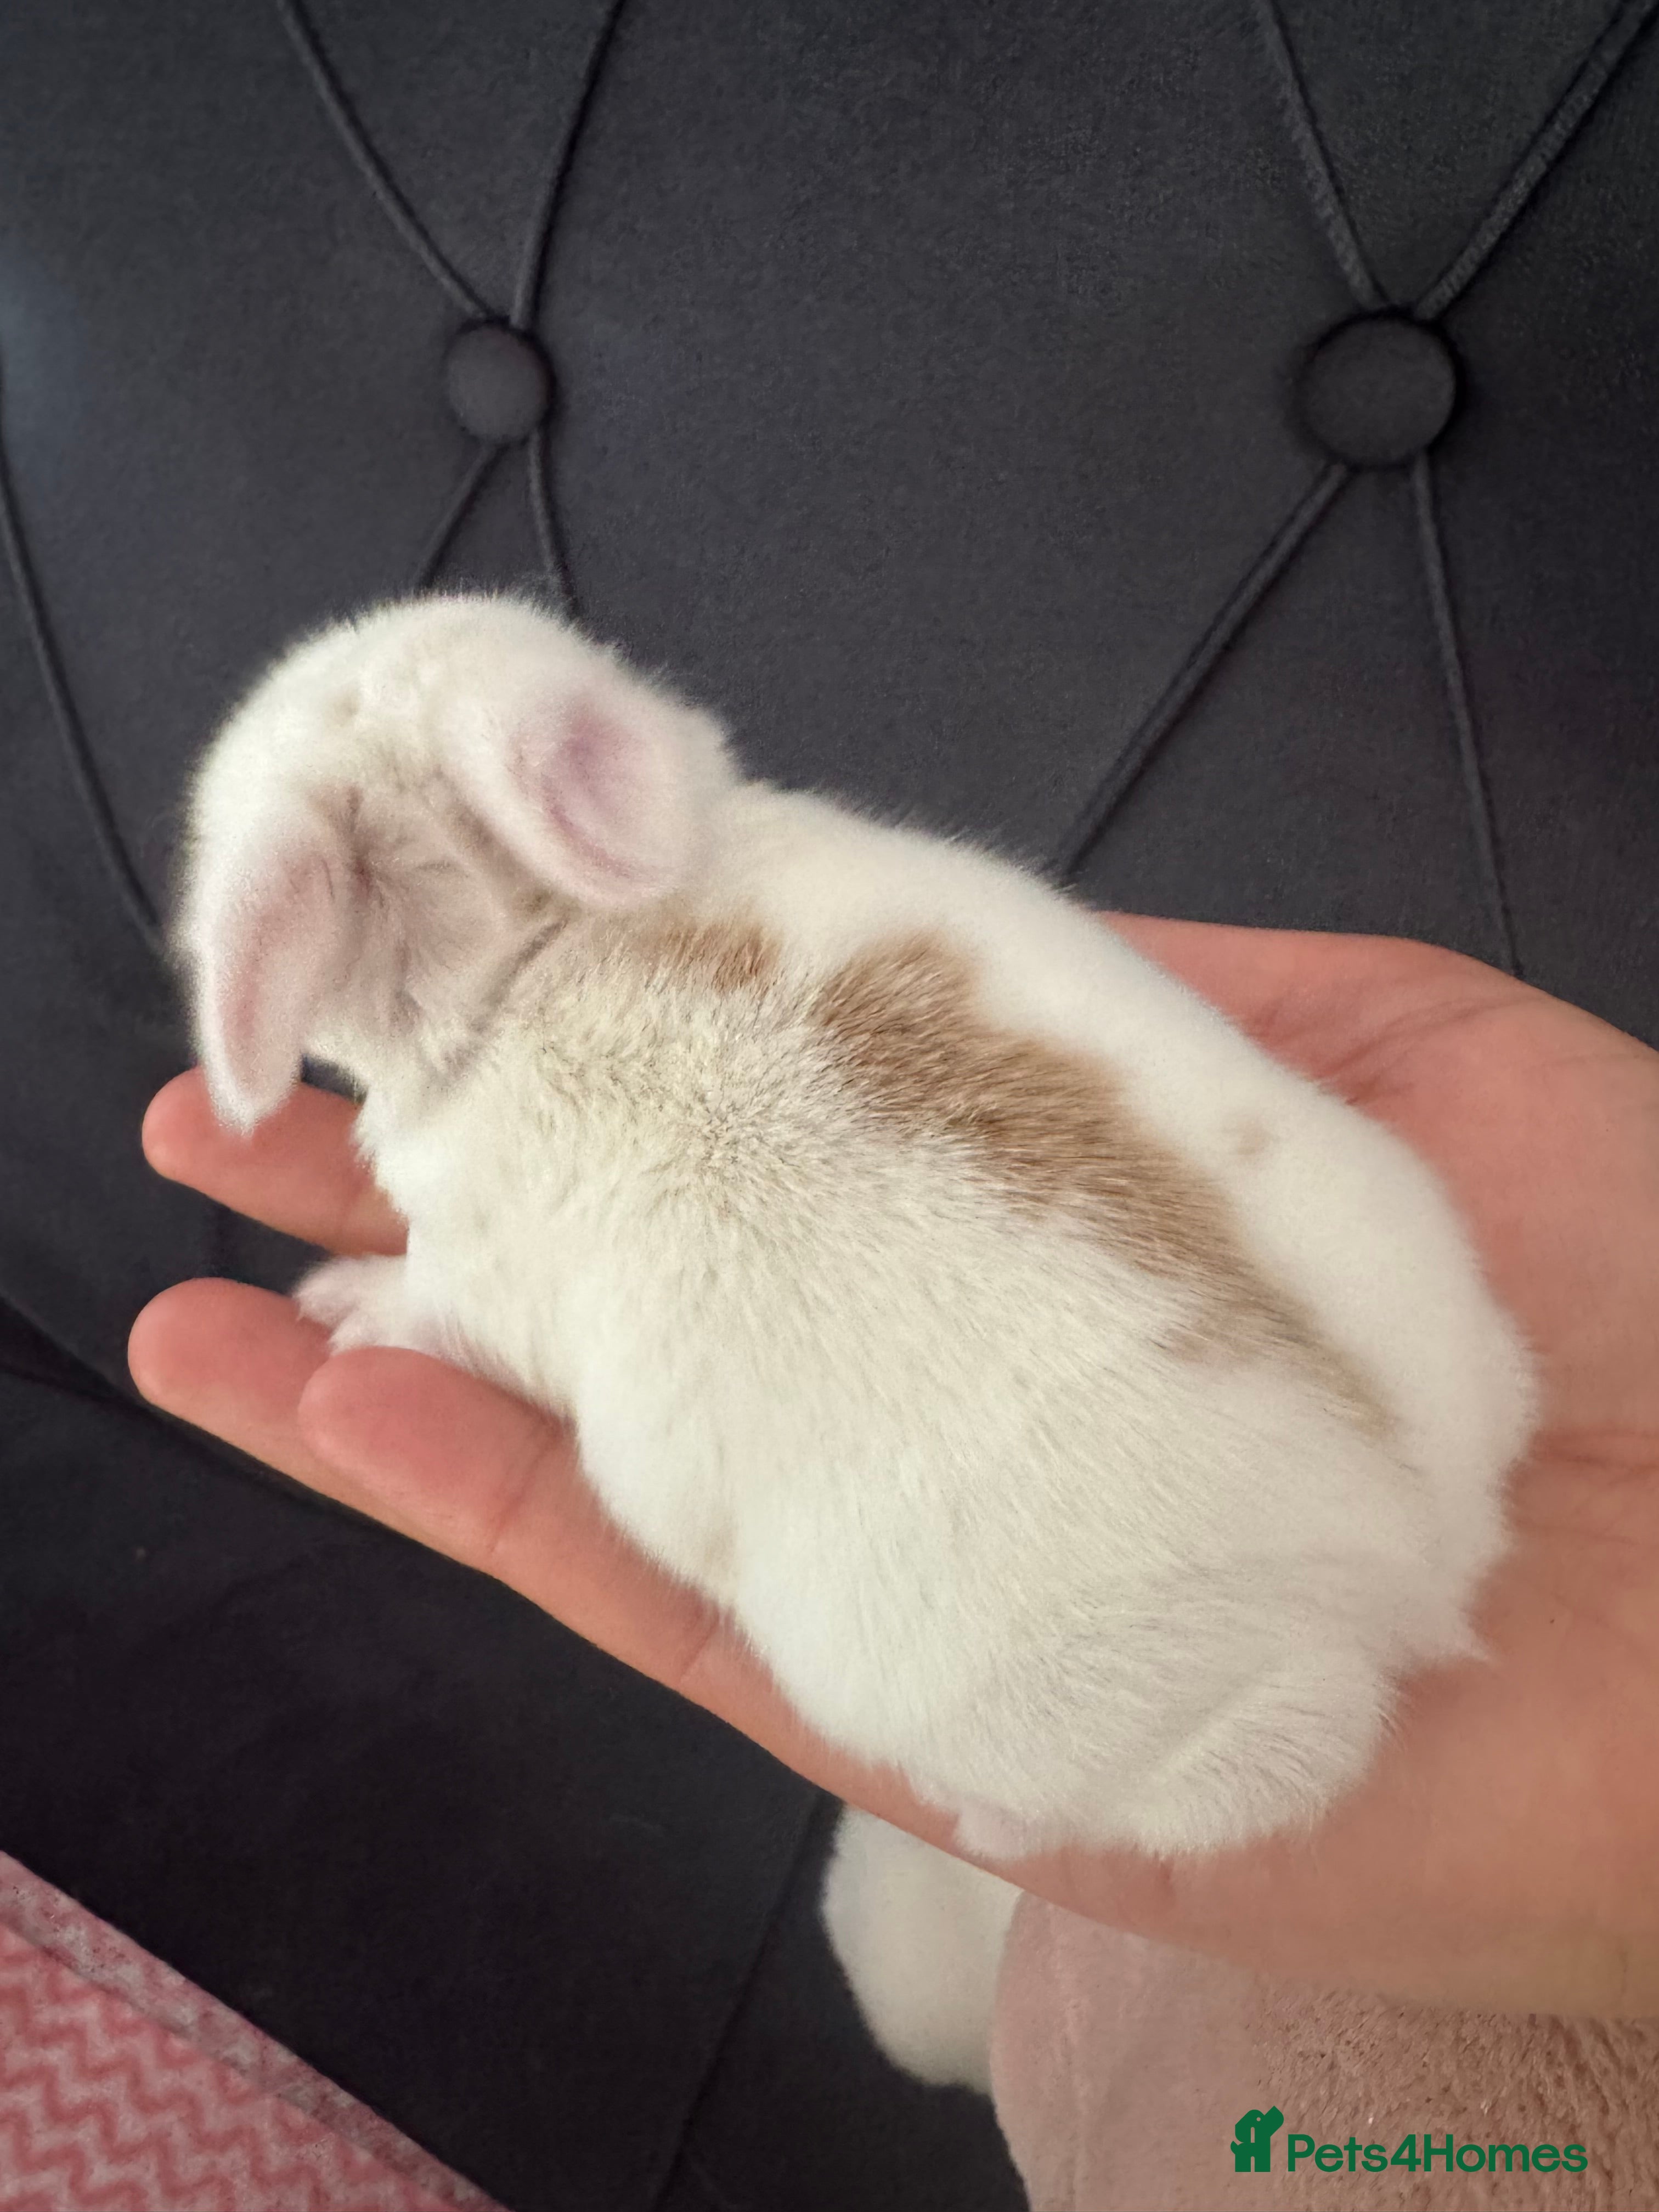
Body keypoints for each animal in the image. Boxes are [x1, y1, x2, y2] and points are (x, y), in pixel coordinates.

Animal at [173, 591, 1536, 2093]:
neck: (545, 945)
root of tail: (1433, 1554)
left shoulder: (477, 1283)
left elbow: (422, 1303)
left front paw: (340, 1303)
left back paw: (979, 1821)